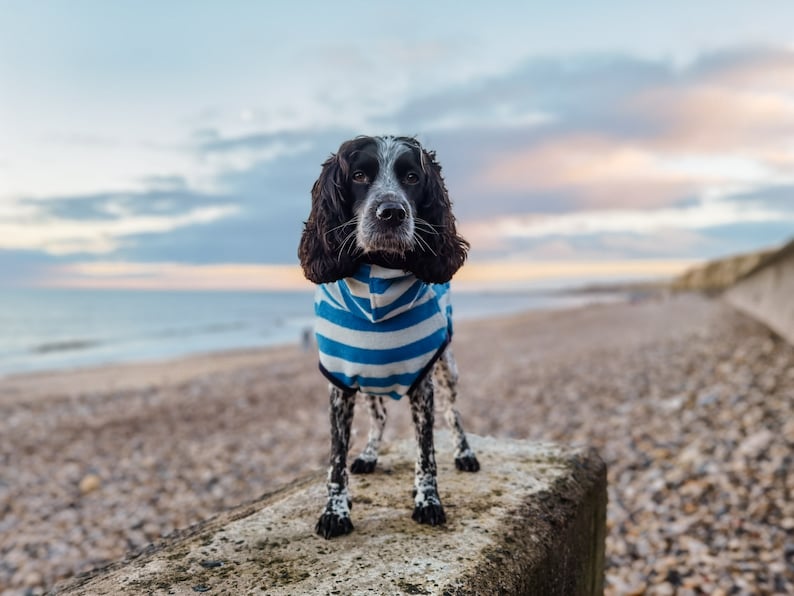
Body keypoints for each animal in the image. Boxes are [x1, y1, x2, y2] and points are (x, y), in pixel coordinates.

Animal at [296, 136, 476, 540]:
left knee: (453, 412)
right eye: (359, 175)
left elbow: (426, 453)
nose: (391, 212)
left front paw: (428, 500)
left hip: (448, 367)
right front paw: (335, 511)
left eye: (411, 177)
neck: (379, 278)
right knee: (378, 418)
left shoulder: (423, 383)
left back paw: (464, 453)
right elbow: (336, 460)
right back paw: (368, 454)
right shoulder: (340, 383)